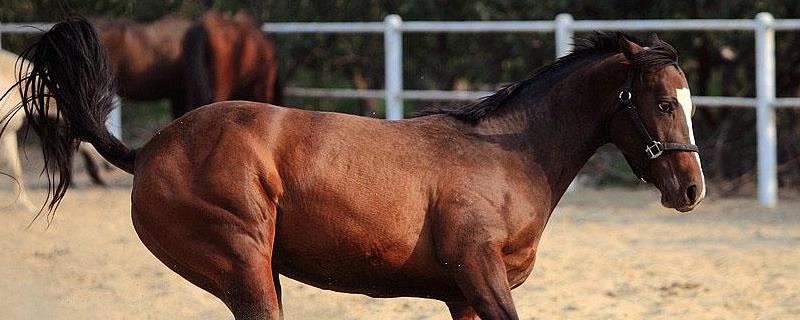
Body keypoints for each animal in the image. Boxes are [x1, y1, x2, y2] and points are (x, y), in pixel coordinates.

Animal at [9, 18, 704, 318]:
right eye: (664, 103)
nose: (691, 190)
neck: (508, 156)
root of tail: (147, 150)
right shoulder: (480, 276)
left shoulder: (463, 295)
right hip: (243, 264)